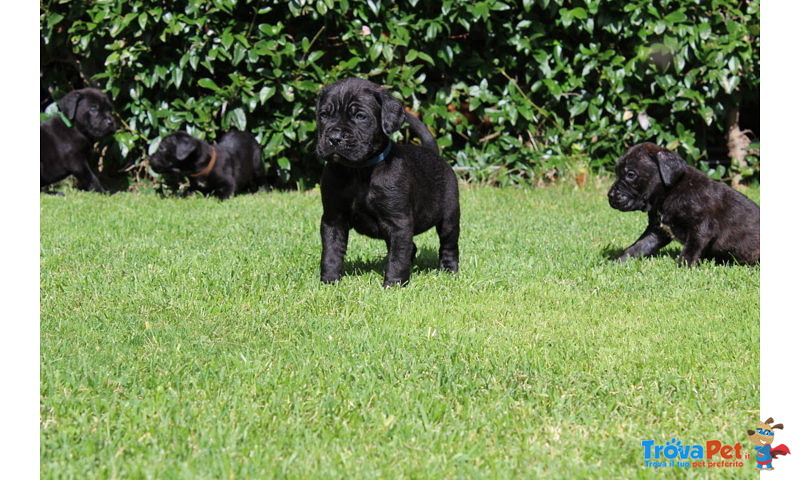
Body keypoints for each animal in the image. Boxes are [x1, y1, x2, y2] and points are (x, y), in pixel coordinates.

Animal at [316, 75, 460, 284]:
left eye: (360, 116)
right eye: (324, 115)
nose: (334, 137)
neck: (358, 172)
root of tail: (433, 153)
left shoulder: (399, 221)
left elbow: (398, 256)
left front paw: (394, 284)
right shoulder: (333, 218)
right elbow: (331, 251)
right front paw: (329, 281)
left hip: (449, 215)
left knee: (448, 244)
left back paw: (449, 270)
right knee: (411, 247)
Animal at [608, 142, 760, 266]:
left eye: (631, 174)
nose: (610, 195)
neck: (669, 193)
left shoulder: (702, 226)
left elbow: (690, 249)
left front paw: (682, 267)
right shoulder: (657, 231)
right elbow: (638, 246)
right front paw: (619, 262)